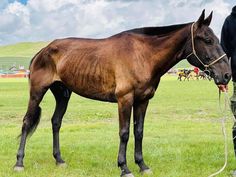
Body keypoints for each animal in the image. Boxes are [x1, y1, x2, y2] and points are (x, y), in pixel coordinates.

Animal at [13, 10, 230, 177]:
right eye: (207, 40)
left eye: (218, 39)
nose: (226, 75)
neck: (143, 55)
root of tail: (43, 51)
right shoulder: (124, 99)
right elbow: (124, 133)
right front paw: (124, 167)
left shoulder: (143, 100)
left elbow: (139, 131)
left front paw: (142, 165)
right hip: (37, 92)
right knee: (27, 122)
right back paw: (19, 163)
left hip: (63, 94)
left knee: (56, 122)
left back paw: (59, 160)